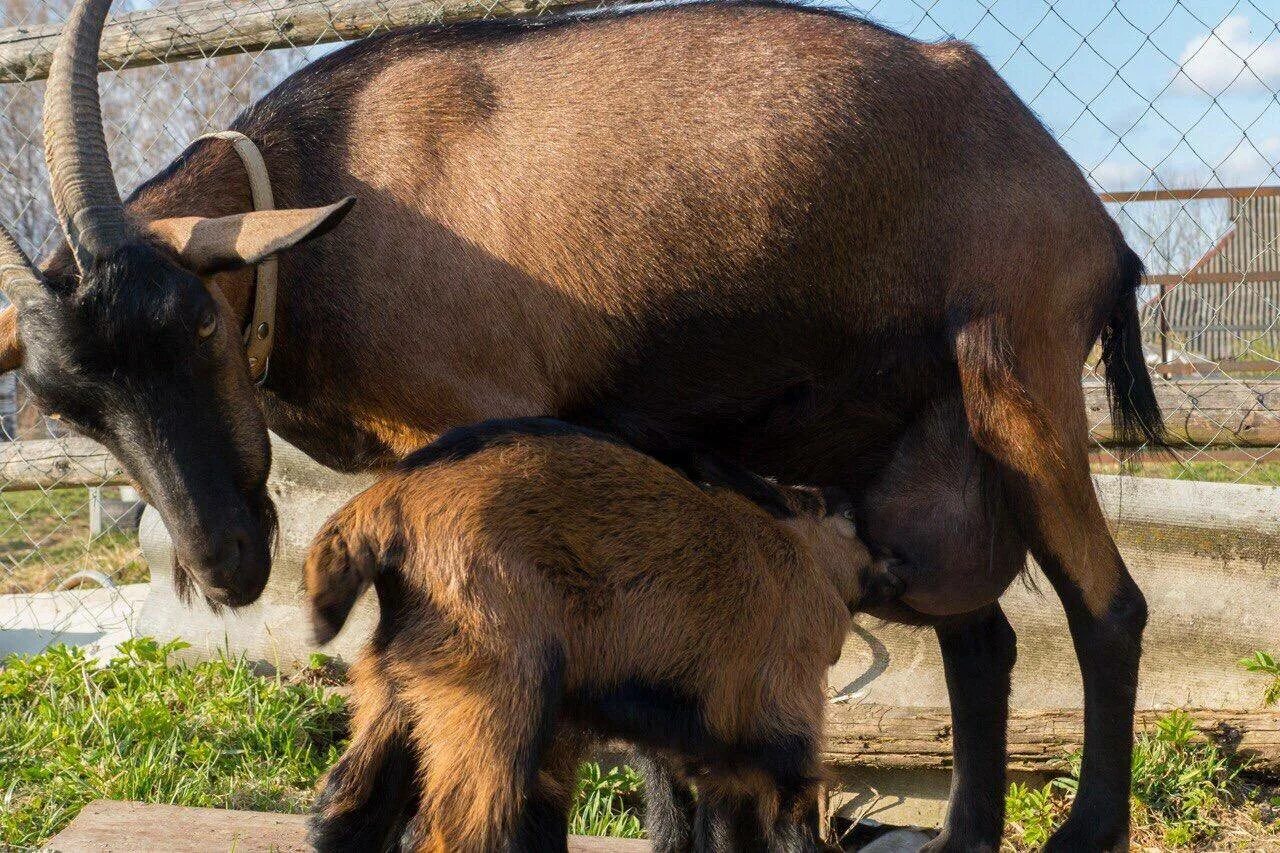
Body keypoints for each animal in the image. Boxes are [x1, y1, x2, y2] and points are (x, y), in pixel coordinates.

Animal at [0, 3, 1162, 845]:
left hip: (1018, 379)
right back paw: (965, 834)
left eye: (198, 321)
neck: (337, 184)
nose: (227, 562)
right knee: (982, 637)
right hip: (919, 454)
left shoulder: (500, 422)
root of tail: (1092, 220)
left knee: (1107, 607)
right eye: (69, 405)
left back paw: (1084, 832)